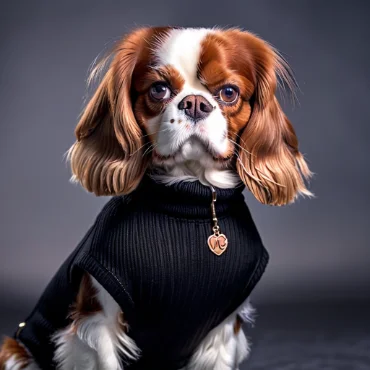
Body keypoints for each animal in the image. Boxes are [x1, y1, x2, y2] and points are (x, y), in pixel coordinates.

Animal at [0, 26, 312, 370]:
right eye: (159, 90)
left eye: (229, 92)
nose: (194, 103)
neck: (192, 201)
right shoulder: (97, 320)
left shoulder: (223, 331)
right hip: (15, 352)